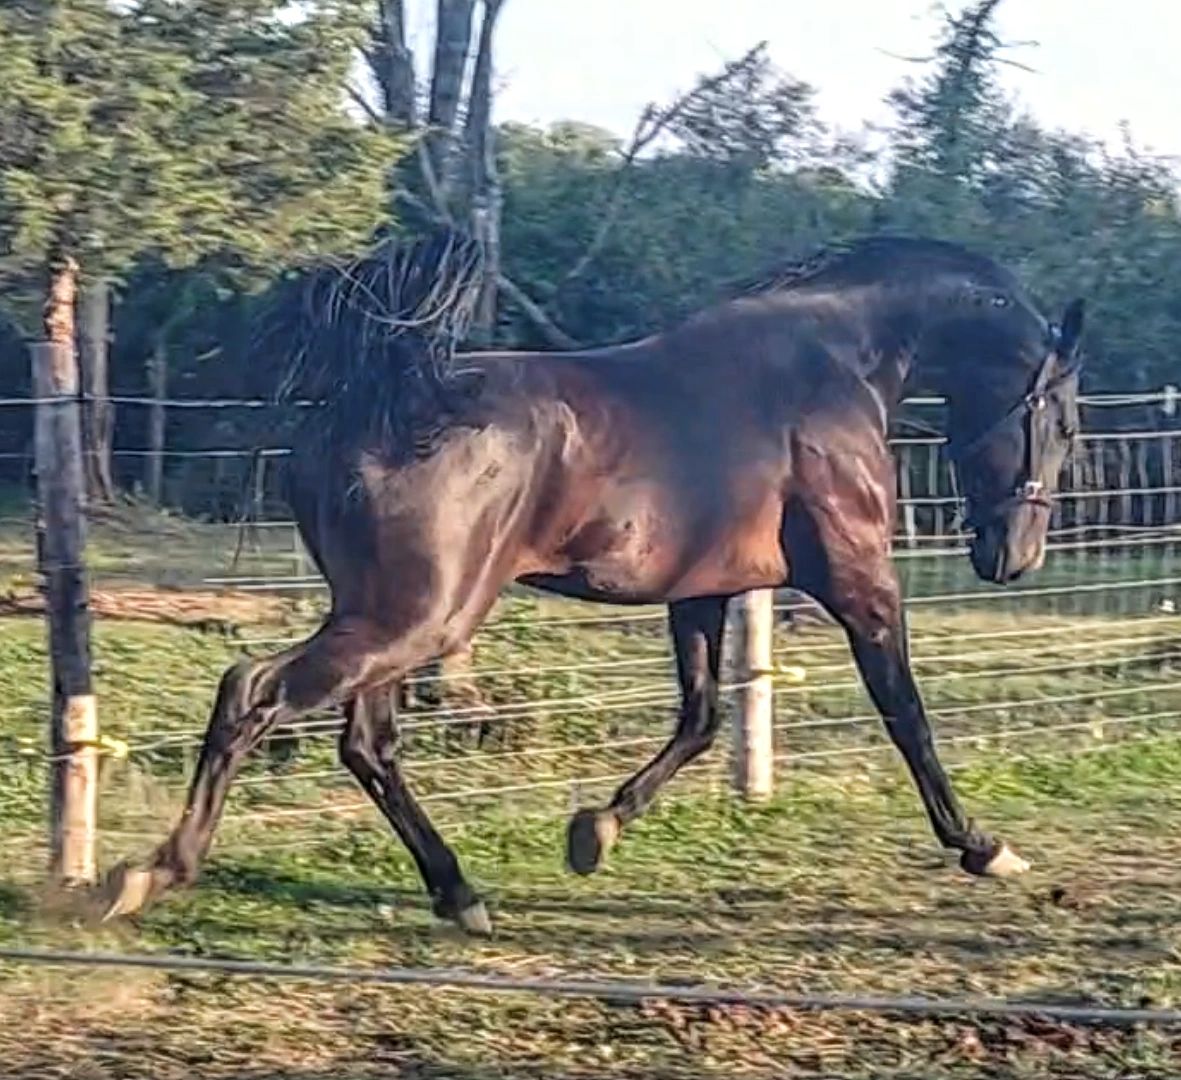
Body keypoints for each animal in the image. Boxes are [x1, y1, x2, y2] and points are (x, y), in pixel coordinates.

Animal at [103, 231, 1085, 934]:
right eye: (1065, 421)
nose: (1013, 555)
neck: (833, 366)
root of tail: (381, 398)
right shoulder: (857, 581)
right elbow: (905, 714)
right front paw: (983, 847)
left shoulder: (700, 592)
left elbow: (700, 718)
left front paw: (593, 831)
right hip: (415, 617)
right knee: (253, 693)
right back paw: (148, 874)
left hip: (394, 617)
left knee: (366, 746)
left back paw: (459, 894)